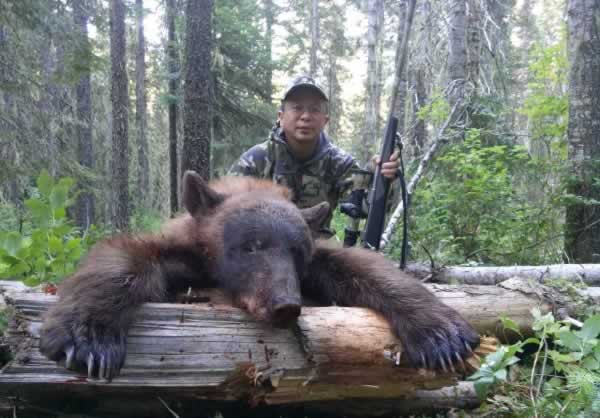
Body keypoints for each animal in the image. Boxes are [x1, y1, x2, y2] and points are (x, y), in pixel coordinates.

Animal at [38, 171, 478, 380]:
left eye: (297, 252)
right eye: (250, 246)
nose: (285, 305)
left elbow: (364, 266)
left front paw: (444, 335)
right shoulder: (183, 249)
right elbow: (122, 255)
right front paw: (89, 340)